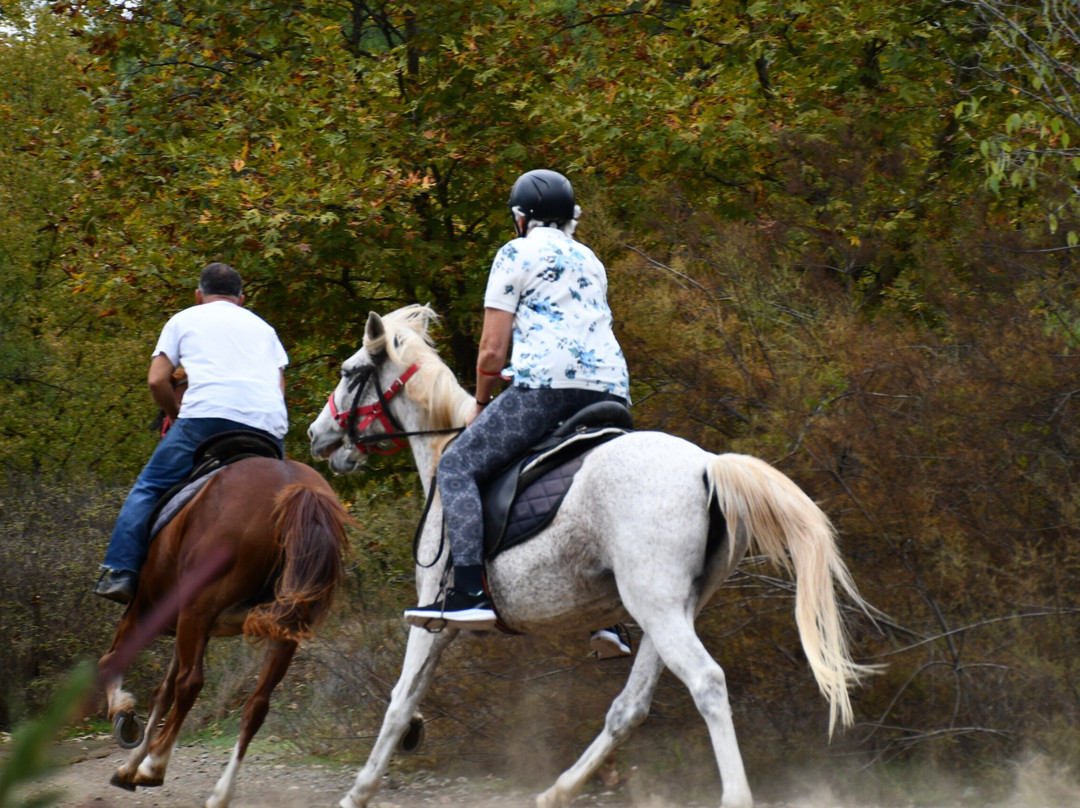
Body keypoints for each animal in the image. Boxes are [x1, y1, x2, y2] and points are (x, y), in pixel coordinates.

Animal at [97, 455, 351, 808]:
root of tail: (295, 487)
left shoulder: (148, 611)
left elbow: (113, 663)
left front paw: (125, 717)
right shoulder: (190, 628)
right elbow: (162, 692)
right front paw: (129, 767)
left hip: (196, 608)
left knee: (190, 684)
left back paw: (155, 766)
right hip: (284, 628)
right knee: (256, 705)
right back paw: (220, 792)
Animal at [307, 304, 877, 808]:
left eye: (350, 372)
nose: (315, 434)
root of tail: (708, 466)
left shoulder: (435, 620)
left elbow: (401, 701)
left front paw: (358, 792)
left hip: (658, 607)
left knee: (707, 683)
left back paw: (732, 796)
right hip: (671, 609)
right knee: (630, 707)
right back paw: (557, 790)